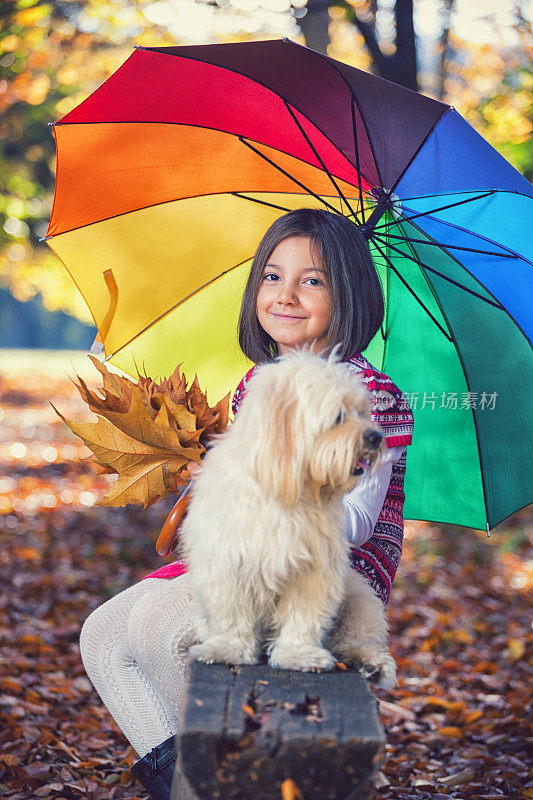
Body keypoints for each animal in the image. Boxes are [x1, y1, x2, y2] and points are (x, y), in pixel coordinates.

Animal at [178, 346, 394, 692]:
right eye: (338, 416)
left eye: (363, 411)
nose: (375, 436)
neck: (286, 492)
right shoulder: (227, 563)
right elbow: (232, 613)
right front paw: (228, 649)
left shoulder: (313, 570)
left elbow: (303, 617)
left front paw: (298, 654)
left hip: (362, 601)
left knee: (356, 639)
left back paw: (372, 664)